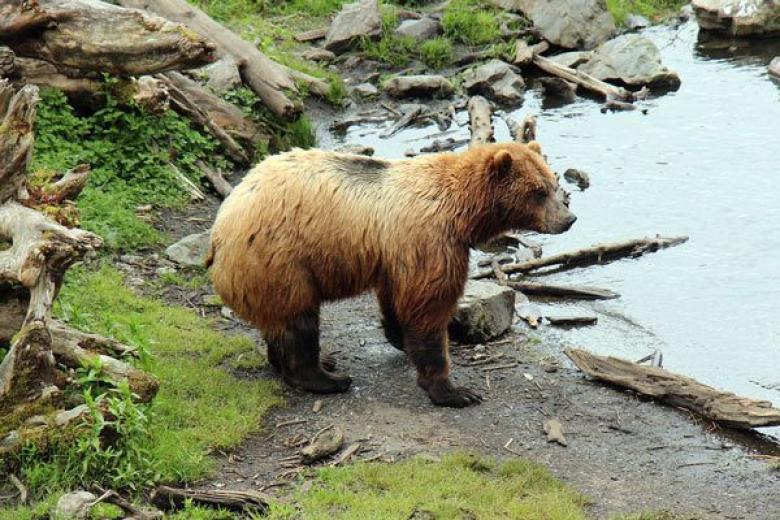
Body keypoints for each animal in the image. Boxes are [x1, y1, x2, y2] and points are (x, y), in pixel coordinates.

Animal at [206, 142, 576, 407]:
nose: (568, 219)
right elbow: (428, 306)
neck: (462, 213)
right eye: (538, 191)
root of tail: (220, 229)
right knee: (300, 320)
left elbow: (397, 299)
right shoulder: (430, 240)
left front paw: (400, 338)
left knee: (280, 322)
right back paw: (327, 377)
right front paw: (454, 390)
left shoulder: (396, 254)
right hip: (280, 260)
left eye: (552, 183)